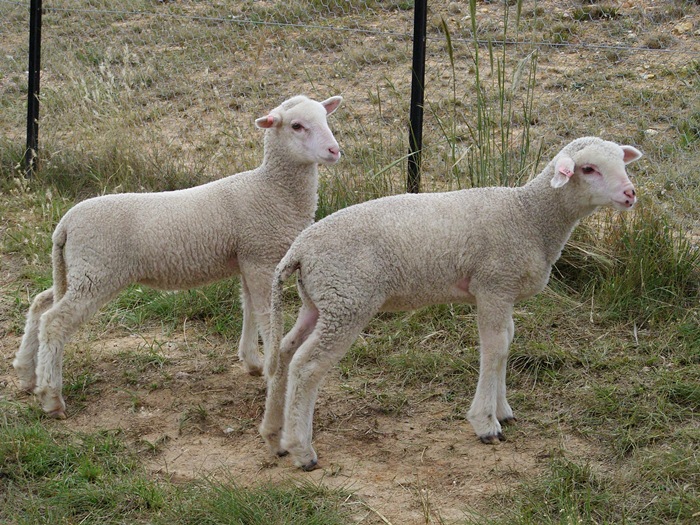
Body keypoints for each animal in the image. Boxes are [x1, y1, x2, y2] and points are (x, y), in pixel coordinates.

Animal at [13, 94, 343, 419]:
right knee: (55, 322)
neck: (271, 188)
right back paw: (51, 398)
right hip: (97, 272)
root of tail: (65, 224)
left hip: (78, 271)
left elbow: (248, 307)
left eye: (325, 118)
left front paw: (252, 361)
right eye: (297, 126)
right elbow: (265, 316)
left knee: (40, 304)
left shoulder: (247, 259)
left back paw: (27, 374)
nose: (334, 150)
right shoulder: (261, 257)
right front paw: (271, 371)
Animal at [259, 137, 642, 470]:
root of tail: (299, 250)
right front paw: (485, 422)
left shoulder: (503, 293)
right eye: (589, 169)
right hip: (347, 301)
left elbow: (507, 342)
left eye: (622, 163)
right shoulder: (494, 284)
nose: (630, 193)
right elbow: (495, 347)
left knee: (286, 351)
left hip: (320, 301)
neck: (529, 215)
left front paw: (502, 409)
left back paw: (274, 434)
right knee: (306, 366)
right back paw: (302, 449)